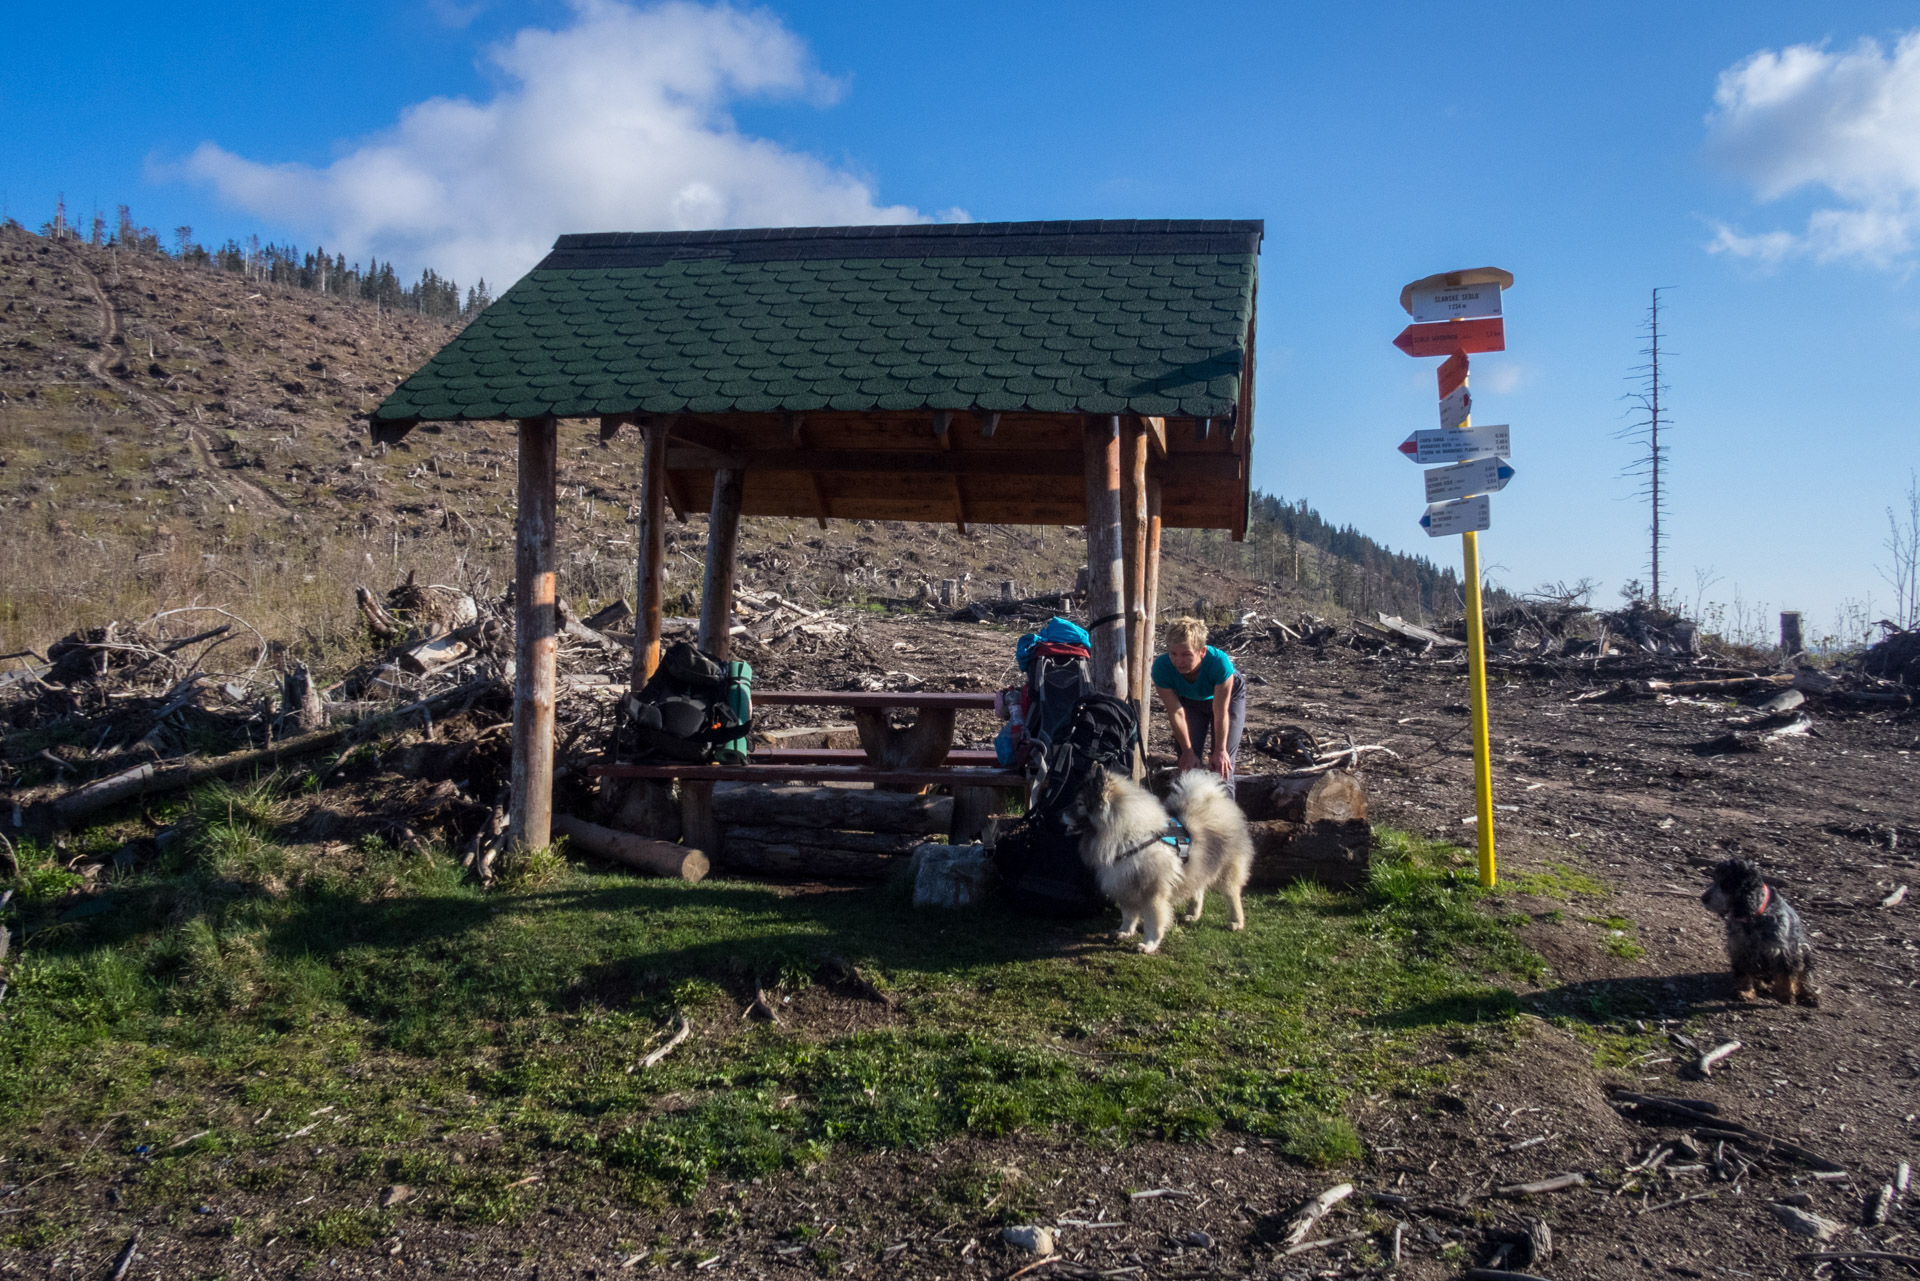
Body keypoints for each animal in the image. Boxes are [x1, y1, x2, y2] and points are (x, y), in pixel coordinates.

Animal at [1059, 768, 1251, 956]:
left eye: (1080, 803)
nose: (1059, 813)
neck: (1129, 839)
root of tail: (1216, 800)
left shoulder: (1153, 892)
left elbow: (1154, 921)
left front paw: (1149, 944)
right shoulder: (1124, 885)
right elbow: (1128, 915)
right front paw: (1125, 932)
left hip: (1226, 871)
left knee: (1233, 896)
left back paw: (1236, 922)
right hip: (1199, 866)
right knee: (1198, 889)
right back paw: (1192, 914)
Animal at [1712, 856, 1812, 1006]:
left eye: (1726, 883)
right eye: (1715, 879)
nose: (1704, 898)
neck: (1754, 918)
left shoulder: (1783, 952)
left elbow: (1786, 976)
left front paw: (1786, 996)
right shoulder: (1740, 950)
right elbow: (1744, 973)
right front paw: (1745, 992)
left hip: (1804, 951)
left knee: (1803, 977)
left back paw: (1809, 996)